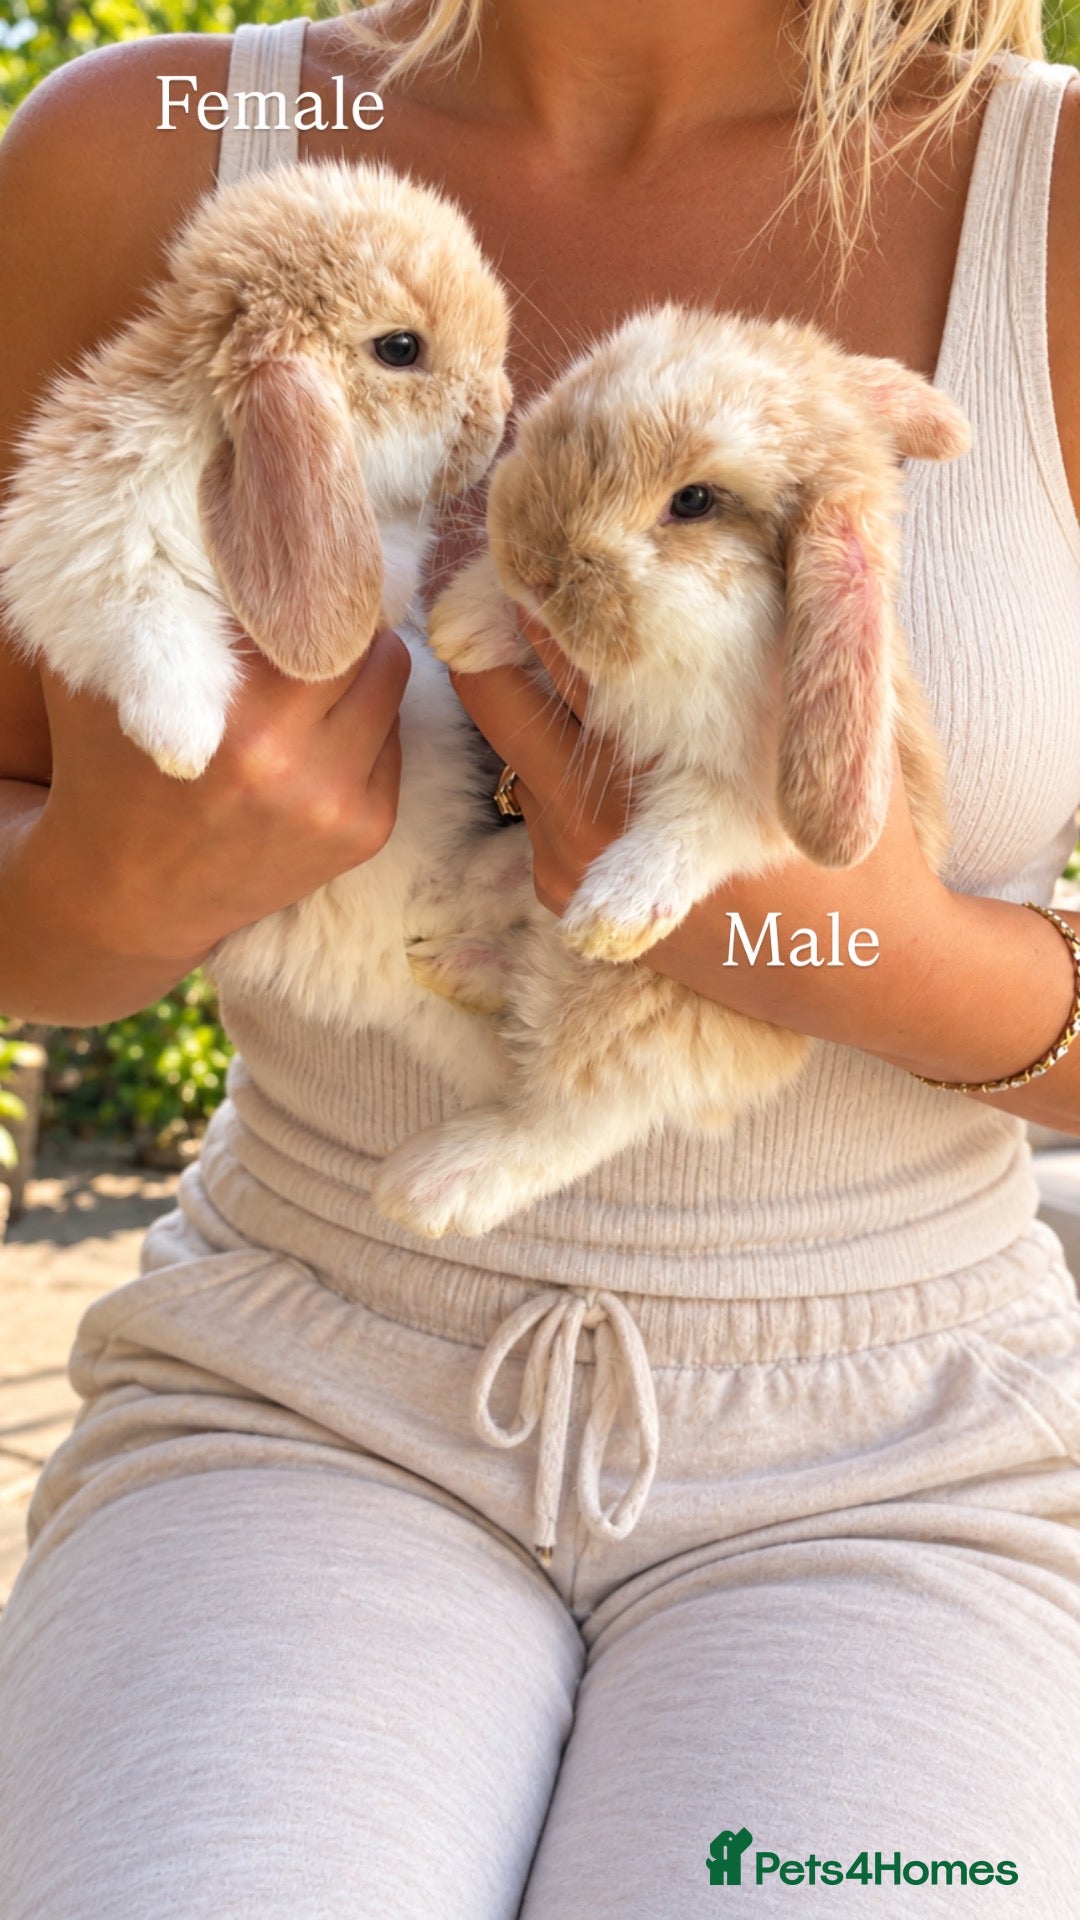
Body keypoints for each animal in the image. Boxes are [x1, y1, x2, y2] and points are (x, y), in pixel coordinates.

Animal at [367, 303, 969, 1240]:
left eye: (695, 501)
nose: (533, 558)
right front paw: (470, 621)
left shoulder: (747, 791)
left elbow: (693, 829)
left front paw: (612, 912)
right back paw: (457, 939)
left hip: (625, 1020)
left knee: (567, 1117)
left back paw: (428, 1183)